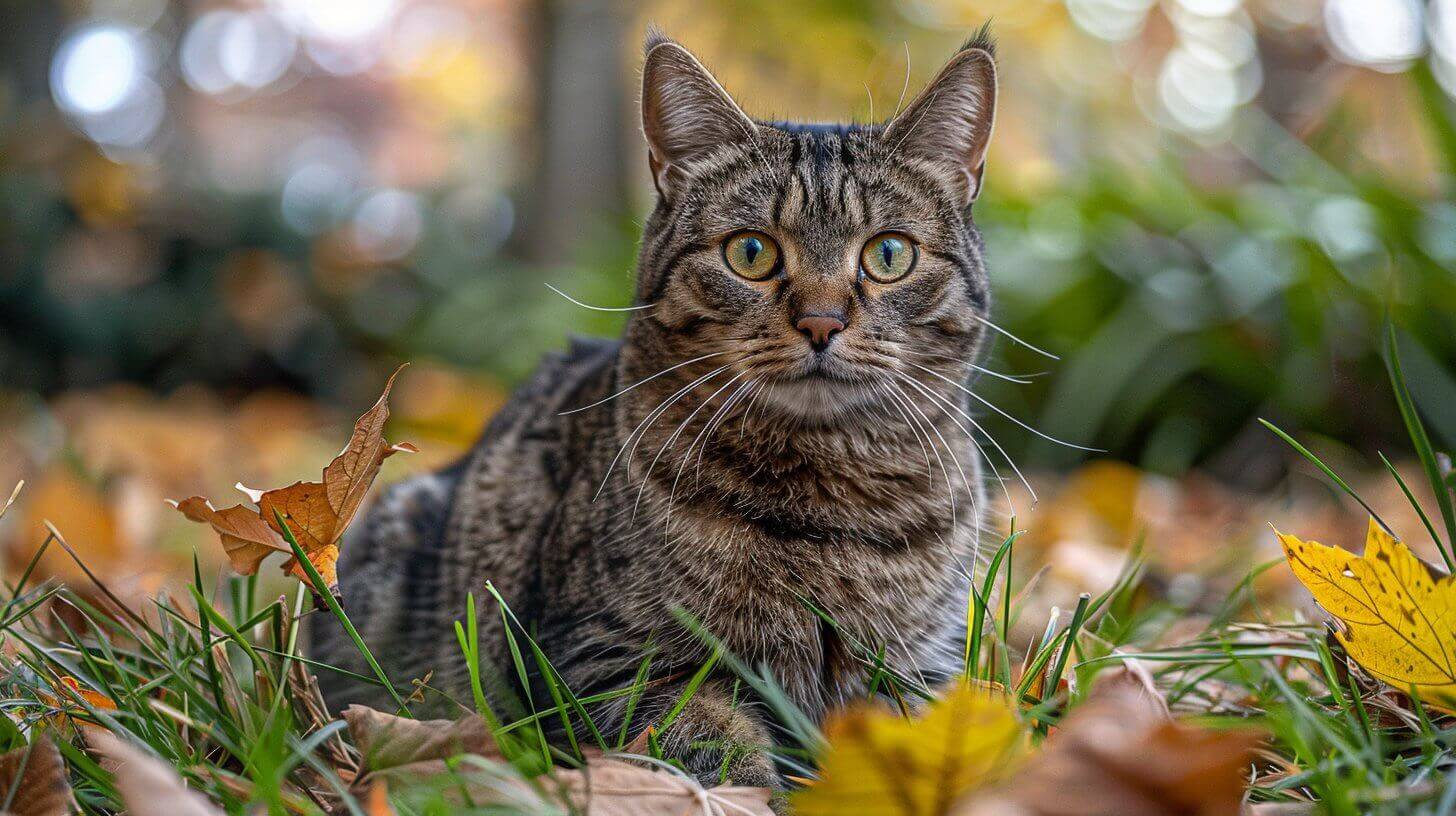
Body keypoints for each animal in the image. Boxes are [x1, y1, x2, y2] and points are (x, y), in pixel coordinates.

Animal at [315, 27, 1001, 792]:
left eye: (888, 255)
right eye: (752, 252)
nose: (821, 321)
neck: (829, 497)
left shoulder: (921, 671)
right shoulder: (615, 659)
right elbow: (713, 749)